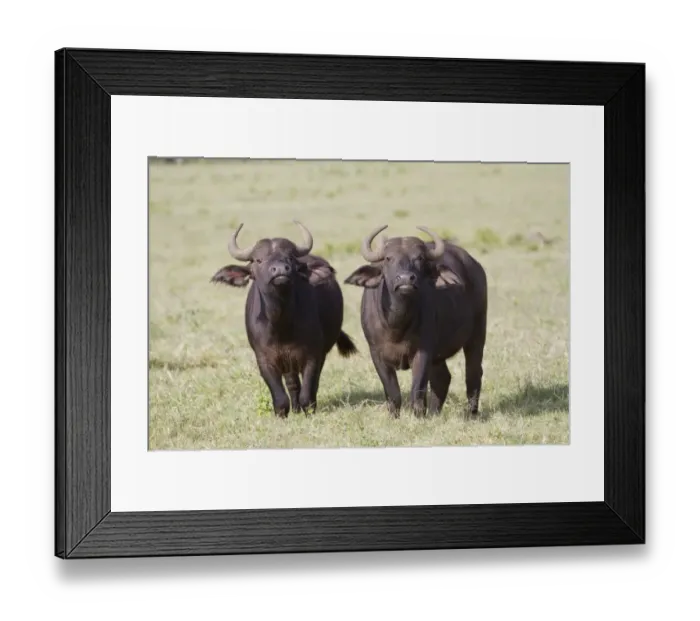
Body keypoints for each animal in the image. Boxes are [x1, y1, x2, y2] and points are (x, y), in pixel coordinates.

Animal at [211, 221, 358, 418]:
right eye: (258, 260)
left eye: (290, 259)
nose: (280, 270)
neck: (281, 325)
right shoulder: (265, 359)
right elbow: (281, 396)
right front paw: (284, 413)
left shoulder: (312, 355)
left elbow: (308, 390)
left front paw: (309, 410)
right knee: (292, 384)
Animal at [344, 225, 487, 418]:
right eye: (388, 258)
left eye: (419, 258)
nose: (406, 279)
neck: (396, 324)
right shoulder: (377, 354)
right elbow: (393, 393)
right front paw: (394, 417)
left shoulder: (423, 352)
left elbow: (417, 391)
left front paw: (418, 416)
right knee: (442, 378)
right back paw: (434, 413)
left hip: (477, 336)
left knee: (473, 373)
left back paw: (471, 413)